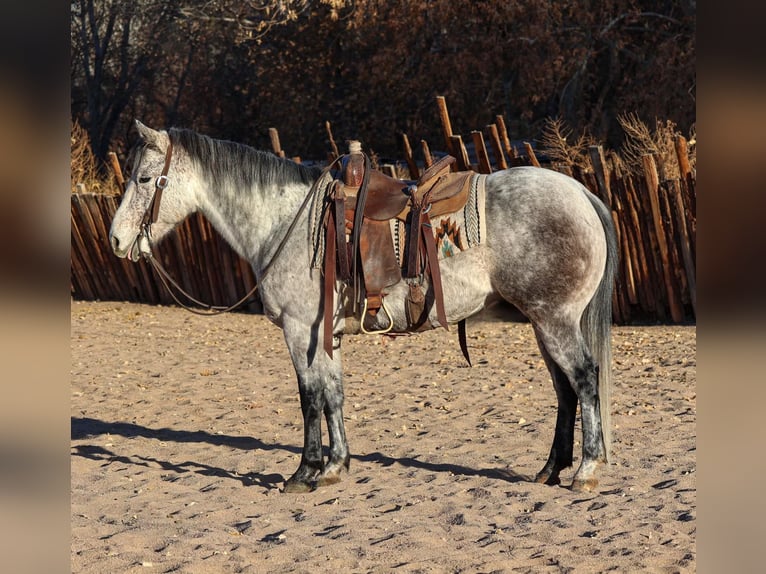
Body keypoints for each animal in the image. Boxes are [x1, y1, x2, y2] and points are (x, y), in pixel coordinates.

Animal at [109, 121, 618, 493]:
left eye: (143, 179)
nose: (116, 240)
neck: (286, 222)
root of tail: (582, 194)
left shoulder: (299, 330)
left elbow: (309, 398)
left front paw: (305, 472)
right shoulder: (324, 334)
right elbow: (333, 395)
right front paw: (336, 466)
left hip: (554, 321)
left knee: (584, 380)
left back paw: (586, 471)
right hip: (542, 322)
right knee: (565, 391)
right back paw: (551, 469)